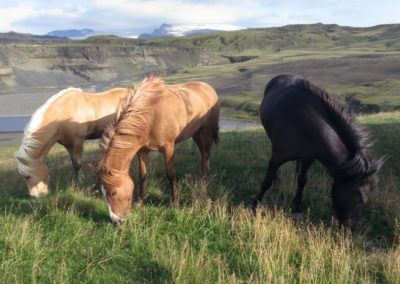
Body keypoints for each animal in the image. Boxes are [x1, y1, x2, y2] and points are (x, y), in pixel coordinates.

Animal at [92, 76, 220, 224]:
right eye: (103, 193)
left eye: (114, 192)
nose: (117, 220)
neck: (150, 115)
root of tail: (209, 88)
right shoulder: (142, 151)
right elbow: (142, 175)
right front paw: (140, 201)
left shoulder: (168, 148)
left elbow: (170, 174)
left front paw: (174, 202)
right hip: (196, 133)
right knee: (205, 153)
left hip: (206, 132)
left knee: (205, 154)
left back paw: (203, 181)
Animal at [253, 74, 384, 230]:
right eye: (359, 199)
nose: (352, 228)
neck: (304, 124)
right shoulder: (278, 157)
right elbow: (266, 182)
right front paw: (255, 206)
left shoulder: (309, 158)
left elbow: (302, 181)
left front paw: (297, 207)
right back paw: (276, 178)